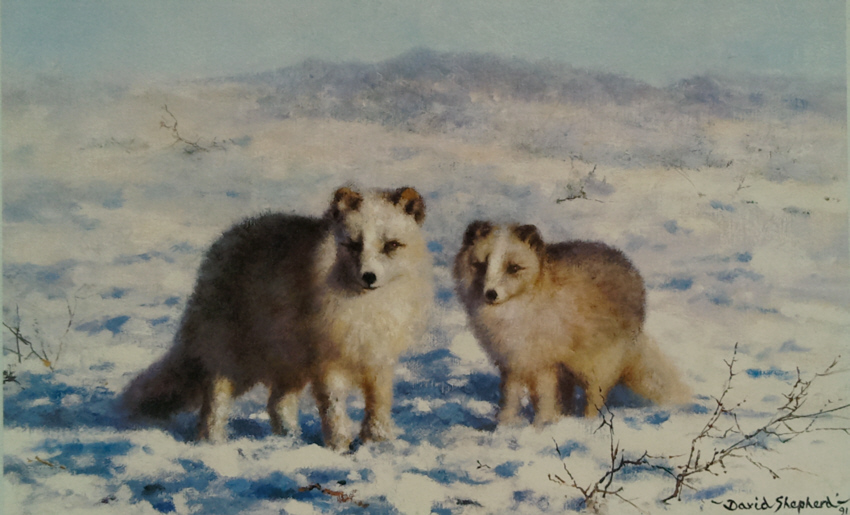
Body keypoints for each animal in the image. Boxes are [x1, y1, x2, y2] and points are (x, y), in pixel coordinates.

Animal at [122, 186, 433, 450]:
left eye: (391, 245)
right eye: (354, 245)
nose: (369, 277)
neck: (363, 311)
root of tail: (229, 237)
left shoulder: (378, 359)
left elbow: (378, 404)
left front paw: (378, 443)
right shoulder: (328, 364)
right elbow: (334, 410)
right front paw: (339, 448)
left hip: (290, 362)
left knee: (277, 403)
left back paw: (289, 440)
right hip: (236, 358)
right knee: (215, 399)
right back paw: (213, 443)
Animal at [453, 221, 690, 426]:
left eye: (513, 268)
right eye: (480, 265)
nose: (490, 294)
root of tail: (628, 266)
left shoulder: (543, 363)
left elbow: (545, 398)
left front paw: (541, 427)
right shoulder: (513, 362)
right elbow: (510, 398)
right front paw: (504, 427)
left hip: (597, 365)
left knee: (594, 400)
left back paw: (586, 425)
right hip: (567, 369)